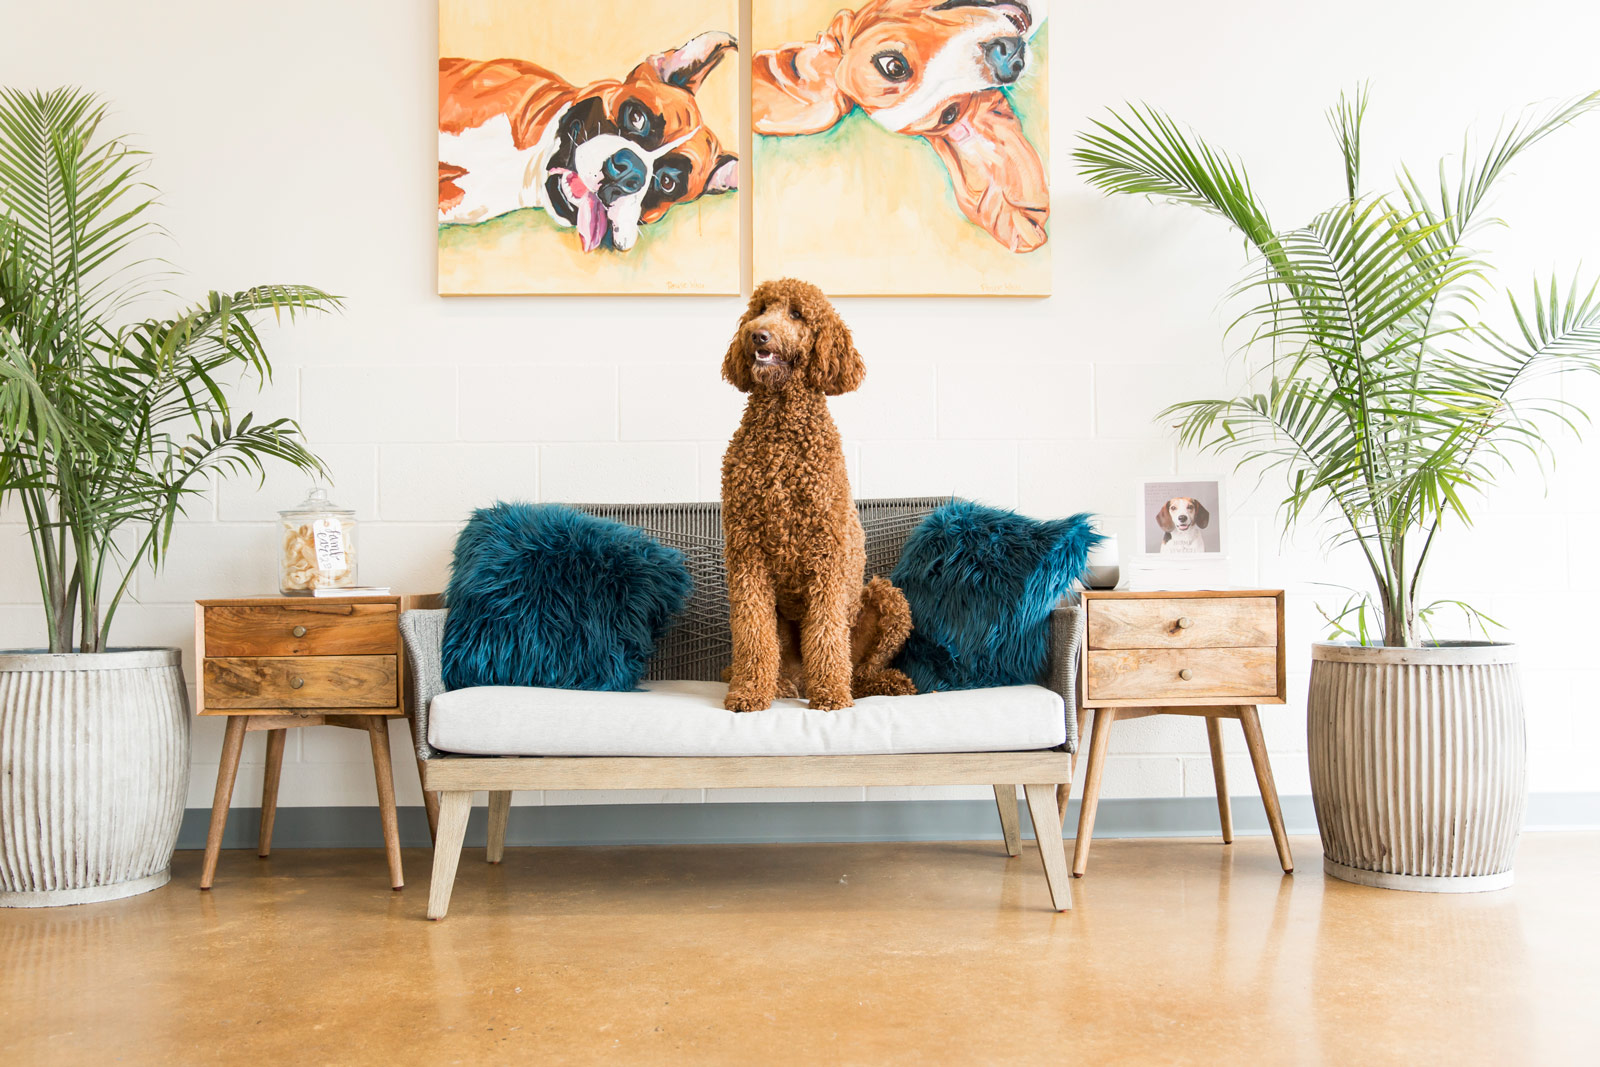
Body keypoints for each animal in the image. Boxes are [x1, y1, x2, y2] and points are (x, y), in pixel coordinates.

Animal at [723, 278, 921, 710]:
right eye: (760, 309)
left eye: (797, 314)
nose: (756, 334)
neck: (781, 427)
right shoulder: (747, 553)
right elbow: (752, 631)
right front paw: (749, 691)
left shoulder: (826, 554)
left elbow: (827, 632)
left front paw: (829, 693)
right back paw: (780, 684)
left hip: (886, 598)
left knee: (860, 670)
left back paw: (876, 683)